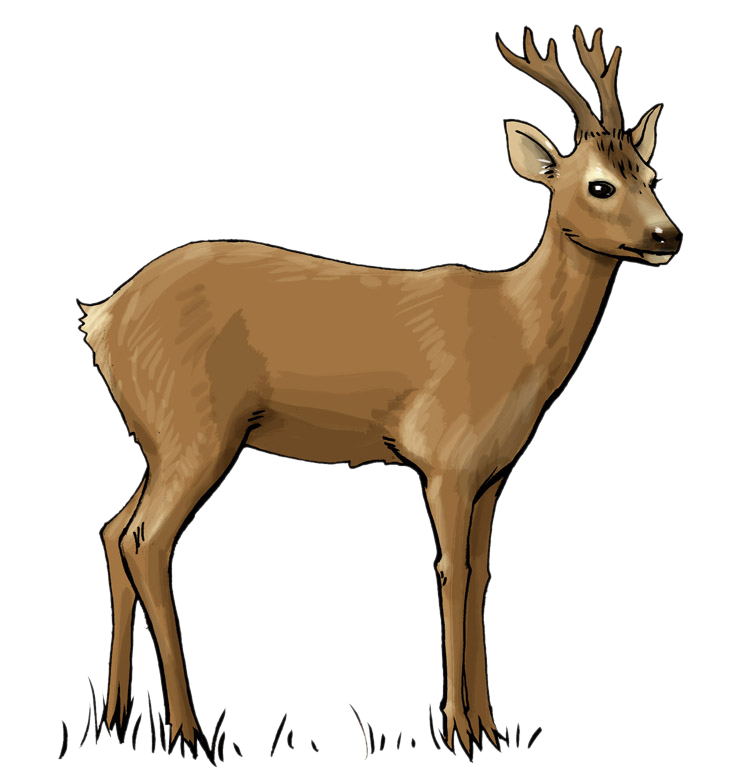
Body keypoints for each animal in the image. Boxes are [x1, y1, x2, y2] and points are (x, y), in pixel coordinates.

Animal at [78, 25, 681, 762]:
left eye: (653, 176)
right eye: (599, 184)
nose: (668, 236)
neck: (517, 337)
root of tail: (100, 318)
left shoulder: (494, 471)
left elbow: (483, 574)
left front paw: (492, 728)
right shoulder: (443, 459)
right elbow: (450, 572)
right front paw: (457, 731)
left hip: (157, 437)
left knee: (112, 529)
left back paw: (116, 717)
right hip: (196, 427)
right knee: (147, 540)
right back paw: (191, 732)